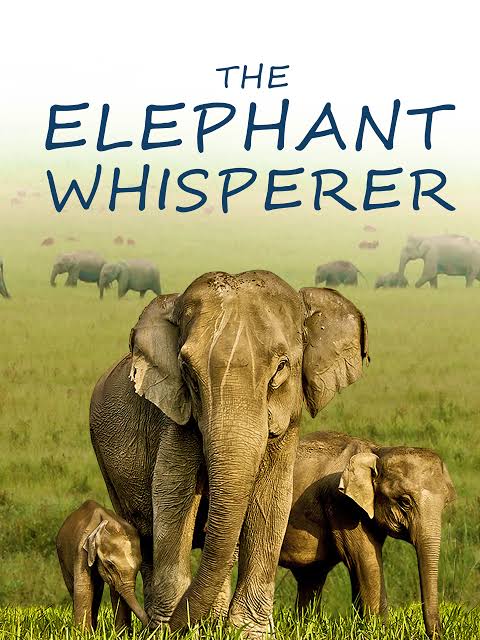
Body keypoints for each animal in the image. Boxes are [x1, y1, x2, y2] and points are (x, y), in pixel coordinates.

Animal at [56, 500, 148, 631]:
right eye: (110, 565)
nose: (146, 628)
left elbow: (116, 591)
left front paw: (121, 633)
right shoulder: (81, 550)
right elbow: (83, 587)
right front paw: (82, 633)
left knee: (97, 592)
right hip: (62, 558)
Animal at [89, 271, 369, 637]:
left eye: (281, 368)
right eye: (188, 373)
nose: (165, 627)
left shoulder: (287, 422)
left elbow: (271, 499)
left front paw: (246, 632)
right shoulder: (175, 419)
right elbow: (172, 495)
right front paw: (170, 630)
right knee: (145, 535)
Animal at [279, 431, 456, 639]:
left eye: (445, 504)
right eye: (405, 502)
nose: (435, 634)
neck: (377, 451)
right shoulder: (343, 506)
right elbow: (367, 563)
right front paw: (380, 632)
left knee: (311, 578)